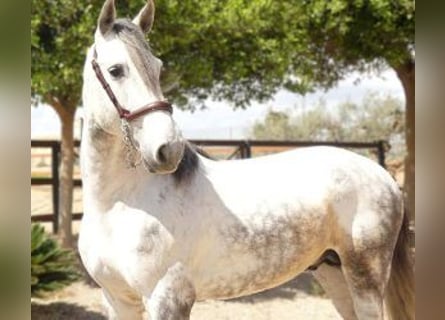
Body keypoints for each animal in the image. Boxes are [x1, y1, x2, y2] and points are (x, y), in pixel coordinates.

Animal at [78, 1, 414, 318]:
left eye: (158, 68)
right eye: (116, 70)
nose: (167, 149)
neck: (119, 204)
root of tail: (383, 175)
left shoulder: (166, 299)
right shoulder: (117, 300)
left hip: (365, 275)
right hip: (333, 271)